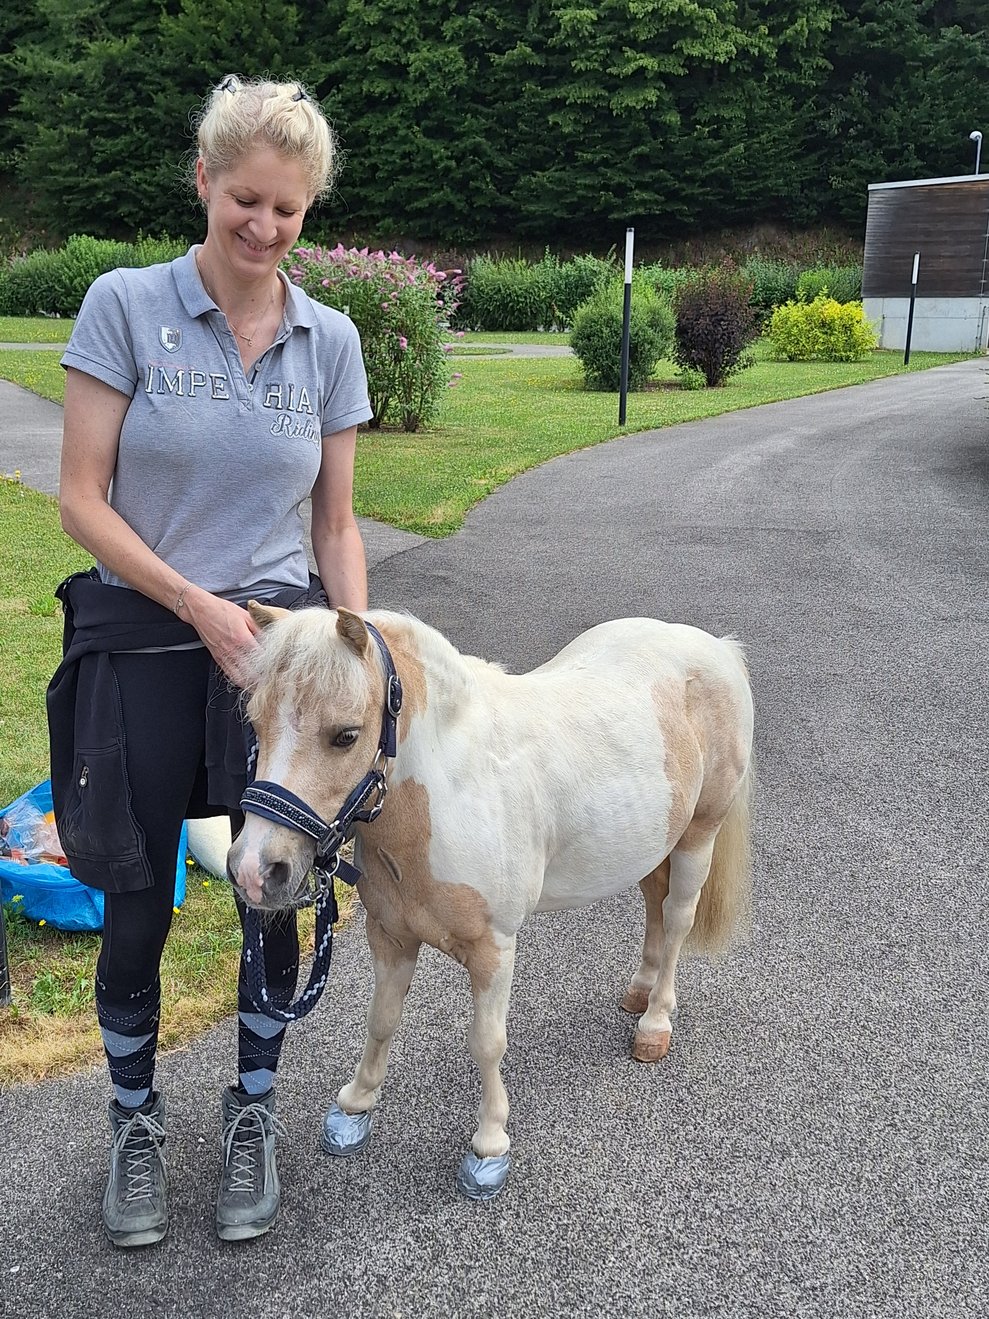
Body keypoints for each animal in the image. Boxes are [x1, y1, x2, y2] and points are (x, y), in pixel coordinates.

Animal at [228, 604, 755, 1200]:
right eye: (256, 722)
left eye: (345, 736)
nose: (254, 871)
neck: (450, 792)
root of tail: (717, 647)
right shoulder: (390, 936)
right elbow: (381, 1020)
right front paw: (355, 1107)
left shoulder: (493, 949)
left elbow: (486, 1044)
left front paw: (489, 1148)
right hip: (651, 844)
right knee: (654, 909)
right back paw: (638, 993)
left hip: (698, 837)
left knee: (677, 919)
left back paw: (654, 1023)